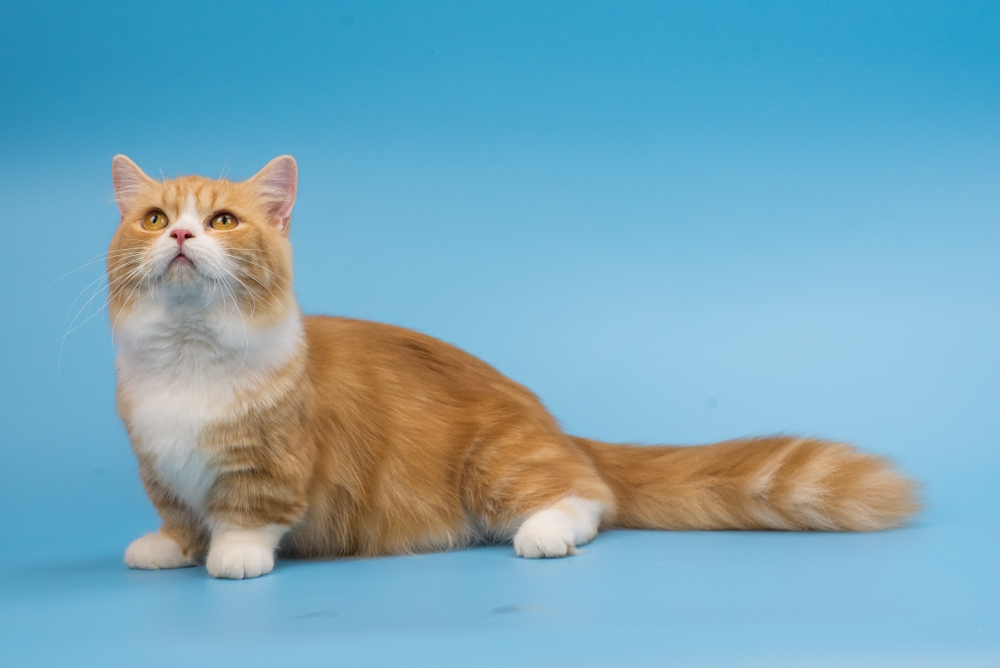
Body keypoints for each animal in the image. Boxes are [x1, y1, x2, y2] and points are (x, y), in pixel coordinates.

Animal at [109, 155, 920, 580]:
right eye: (154, 219)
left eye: (222, 221)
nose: (181, 234)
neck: (189, 358)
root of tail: (552, 424)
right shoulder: (157, 465)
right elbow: (178, 514)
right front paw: (170, 548)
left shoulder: (271, 465)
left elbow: (246, 516)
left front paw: (232, 556)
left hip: (496, 463)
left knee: (589, 497)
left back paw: (547, 533)